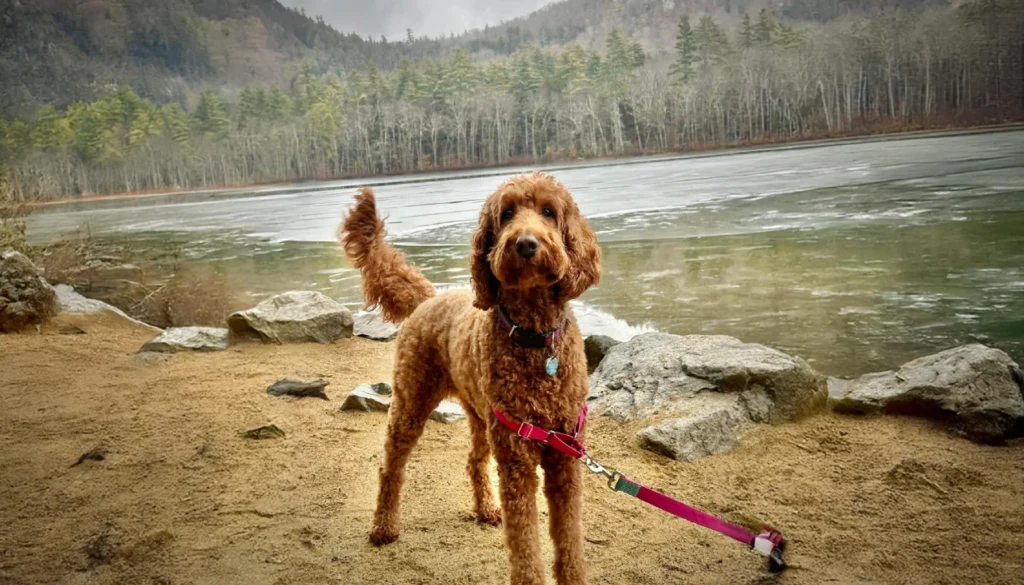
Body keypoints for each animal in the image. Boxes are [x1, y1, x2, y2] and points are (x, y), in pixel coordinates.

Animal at [339, 173, 598, 585]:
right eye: (506, 214)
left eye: (548, 212)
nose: (526, 243)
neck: (533, 335)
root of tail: (428, 298)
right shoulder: (517, 462)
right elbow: (525, 546)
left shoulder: (564, 457)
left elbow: (569, 541)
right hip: (411, 401)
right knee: (391, 467)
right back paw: (383, 526)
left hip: (481, 415)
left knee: (475, 460)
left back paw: (486, 508)